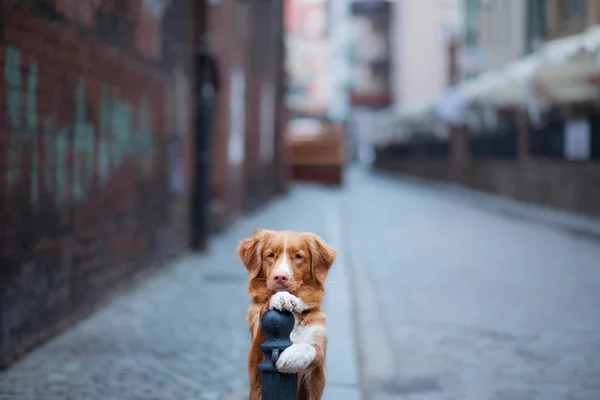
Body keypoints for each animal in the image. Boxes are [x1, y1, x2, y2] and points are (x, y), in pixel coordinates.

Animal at [236, 228, 338, 400]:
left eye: (298, 256)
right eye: (271, 255)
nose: (280, 277)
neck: (294, 315)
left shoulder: (316, 381)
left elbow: (314, 349)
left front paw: (294, 354)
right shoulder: (255, 376)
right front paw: (280, 297)